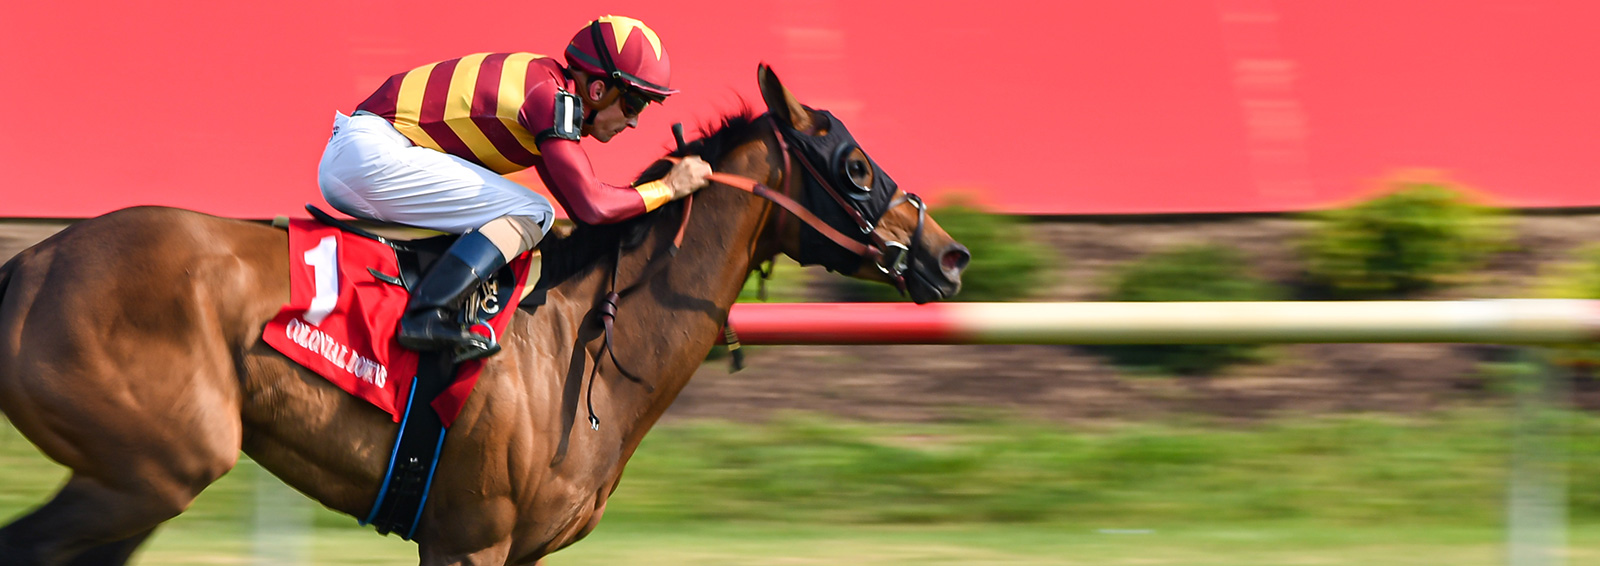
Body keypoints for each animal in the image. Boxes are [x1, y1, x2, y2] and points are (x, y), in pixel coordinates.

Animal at [0, 65, 970, 565]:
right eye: (854, 168)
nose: (952, 255)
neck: (580, 345)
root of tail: (30, 264)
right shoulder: (471, 540)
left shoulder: (515, 551)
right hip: (153, 467)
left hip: (133, 488)